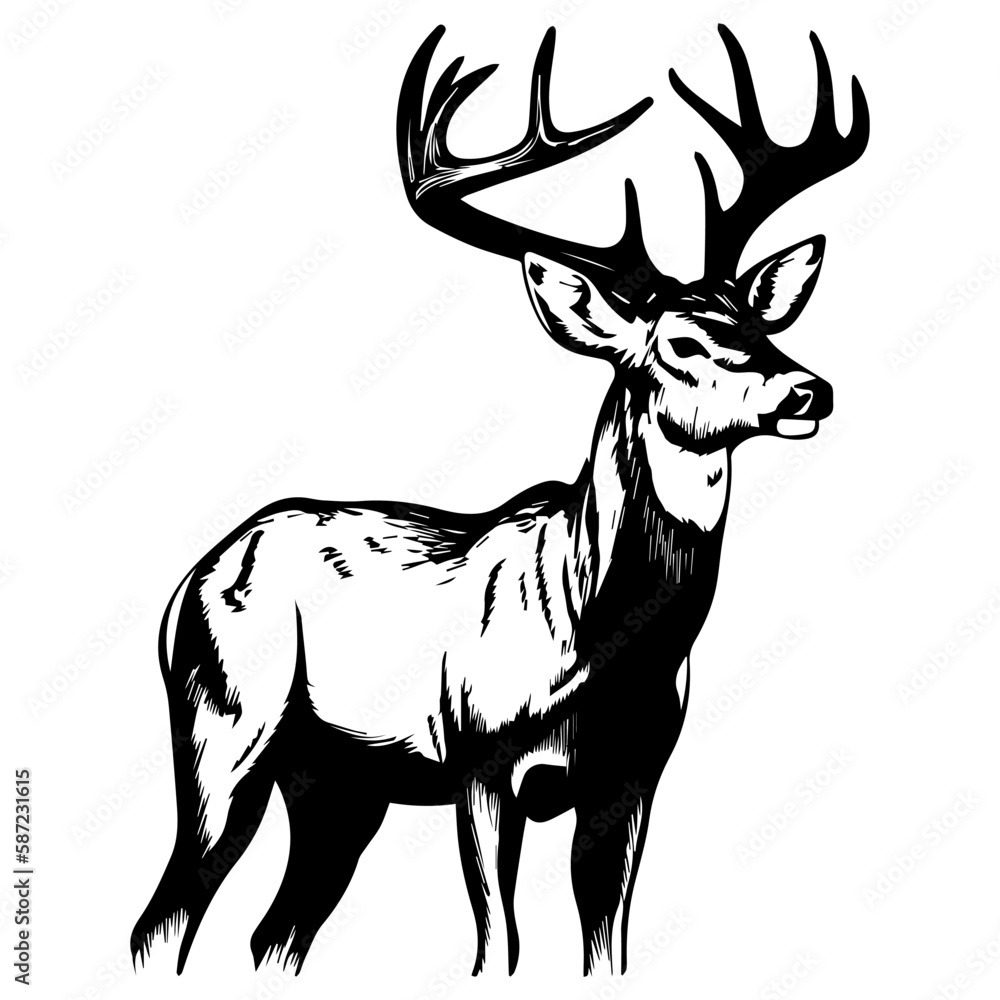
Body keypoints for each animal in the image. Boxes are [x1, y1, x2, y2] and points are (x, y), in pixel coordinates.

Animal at [131, 22, 867, 978]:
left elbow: (606, 943)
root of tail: (190, 580)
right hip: (223, 720)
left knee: (274, 932)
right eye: (681, 342)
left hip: (340, 784)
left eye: (762, 321)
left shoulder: (634, 775)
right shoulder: (478, 756)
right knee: (168, 914)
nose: (809, 389)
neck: (599, 647)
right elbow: (498, 945)